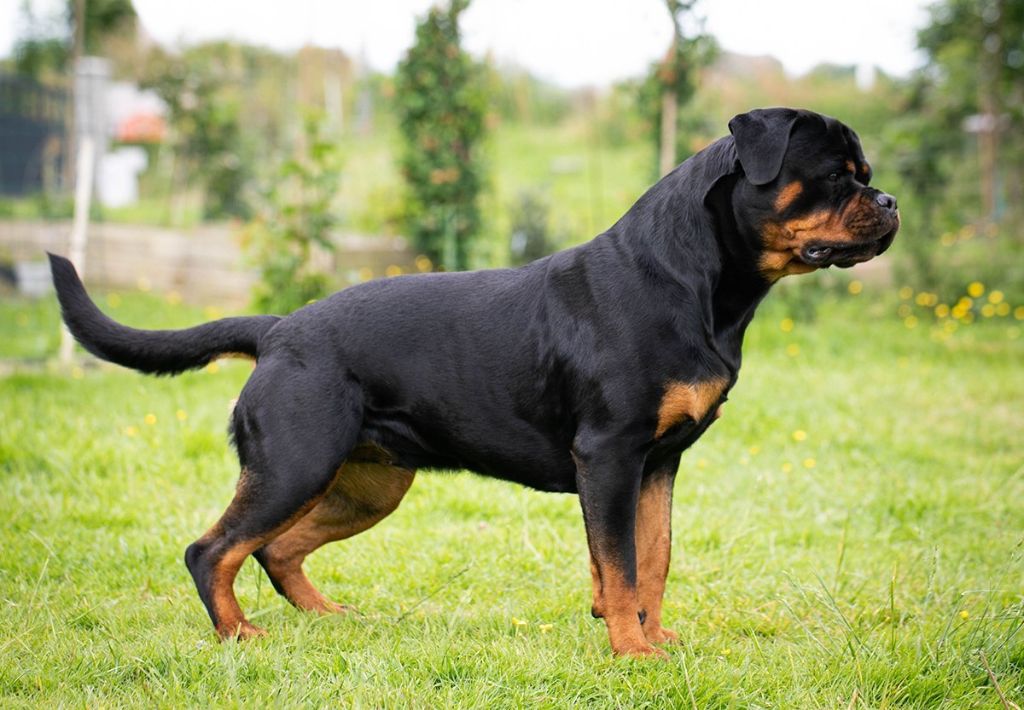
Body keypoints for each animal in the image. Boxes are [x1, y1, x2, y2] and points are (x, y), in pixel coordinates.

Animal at [48, 108, 897, 655]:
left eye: (867, 177)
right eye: (835, 176)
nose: (888, 201)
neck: (696, 280)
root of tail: (279, 330)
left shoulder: (659, 462)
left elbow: (651, 559)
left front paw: (656, 638)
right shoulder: (611, 455)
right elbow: (621, 565)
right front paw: (633, 652)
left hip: (367, 484)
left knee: (276, 550)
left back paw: (329, 617)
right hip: (296, 463)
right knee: (213, 550)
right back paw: (238, 636)